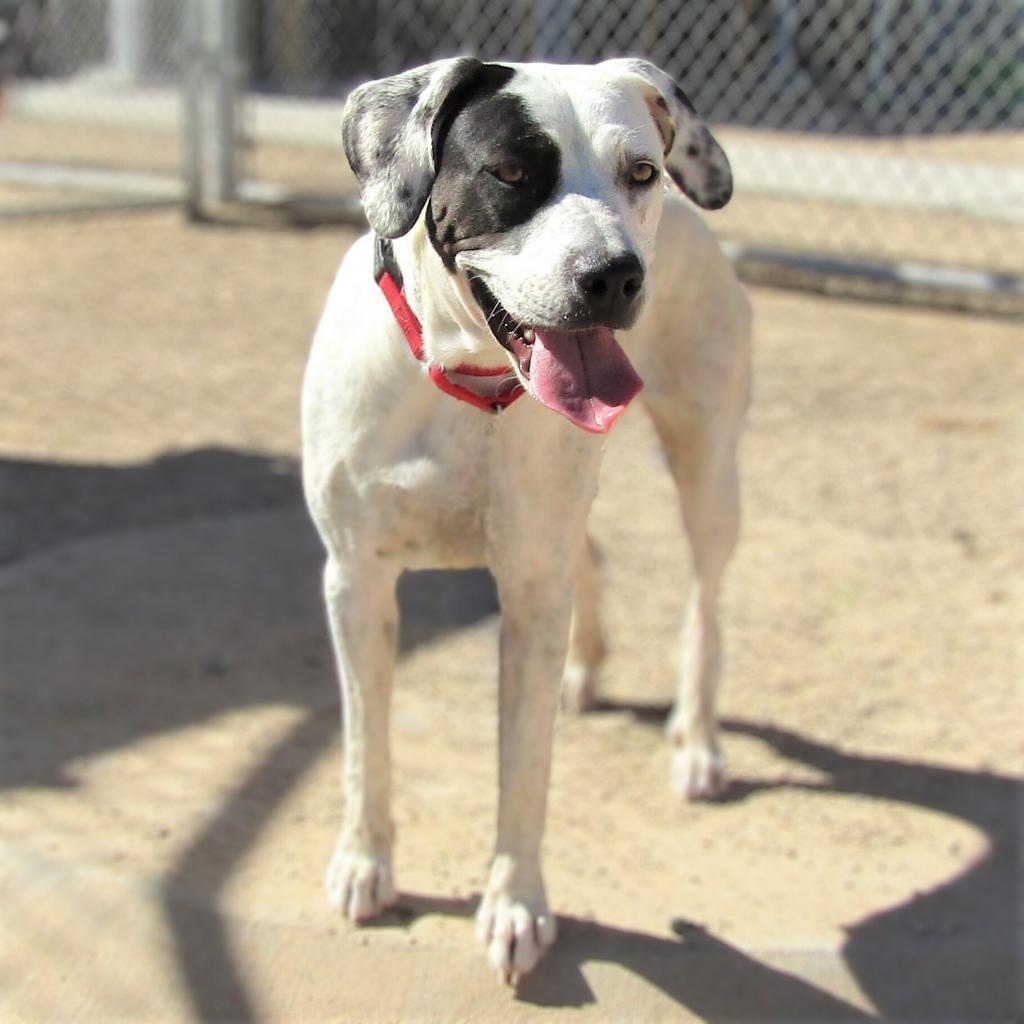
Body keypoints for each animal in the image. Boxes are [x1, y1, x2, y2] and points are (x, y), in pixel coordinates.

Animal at [299, 58, 749, 983]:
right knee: (590, 554)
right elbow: (366, 744)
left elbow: (525, 768)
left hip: (707, 468)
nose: (616, 276)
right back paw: (590, 669)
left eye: (639, 171)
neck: (466, 382)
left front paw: (514, 905)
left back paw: (695, 740)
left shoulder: (530, 597)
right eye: (509, 171)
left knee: (706, 605)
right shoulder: (356, 581)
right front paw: (365, 862)